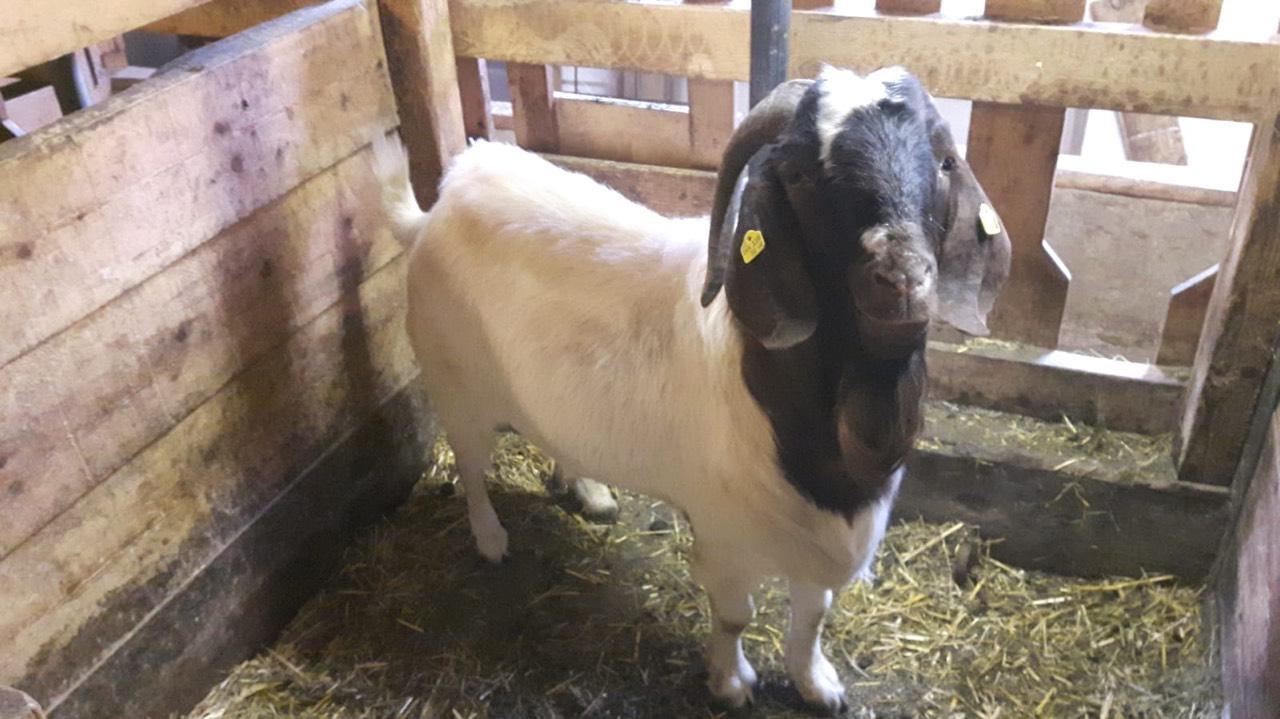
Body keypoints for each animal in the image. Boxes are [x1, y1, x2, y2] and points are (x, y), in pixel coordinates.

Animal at [371, 64, 1008, 706]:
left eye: (944, 161)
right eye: (800, 173)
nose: (901, 277)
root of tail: (436, 205)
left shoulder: (822, 540)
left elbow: (813, 615)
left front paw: (816, 683)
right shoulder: (725, 539)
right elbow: (735, 616)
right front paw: (730, 683)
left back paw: (590, 492)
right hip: (456, 385)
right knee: (471, 467)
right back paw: (490, 539)